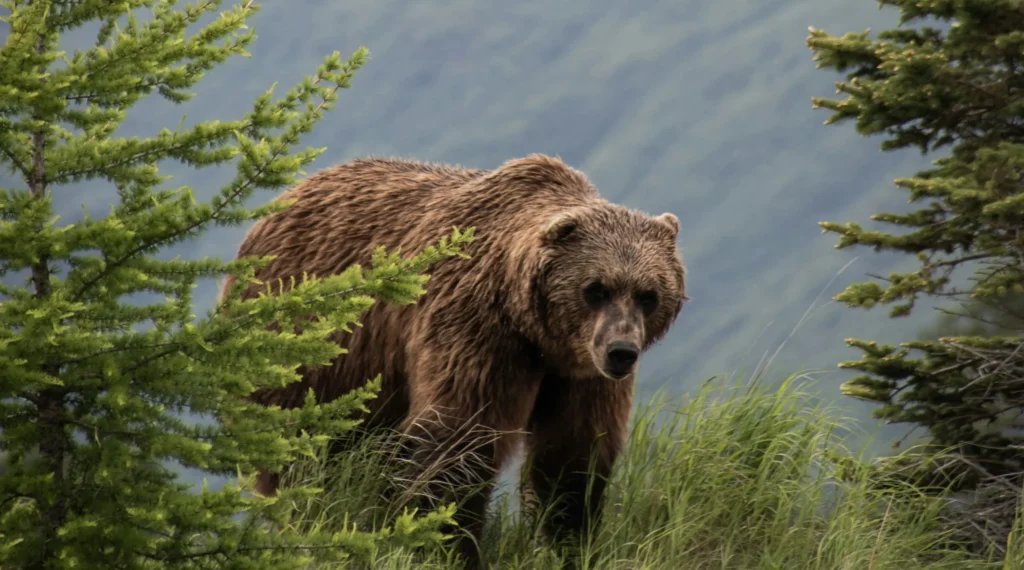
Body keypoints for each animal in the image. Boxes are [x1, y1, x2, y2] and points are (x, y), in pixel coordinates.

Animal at [217, 154, 687, 568]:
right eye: (596, 288)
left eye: (648, 294)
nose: (621, 351)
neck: (535, 331)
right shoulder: (476, 330)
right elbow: (457, 441)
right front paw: (444, 546)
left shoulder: (579, 374)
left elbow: (572, 455)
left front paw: (568, 543)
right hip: (308, 354)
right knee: (307, 459)